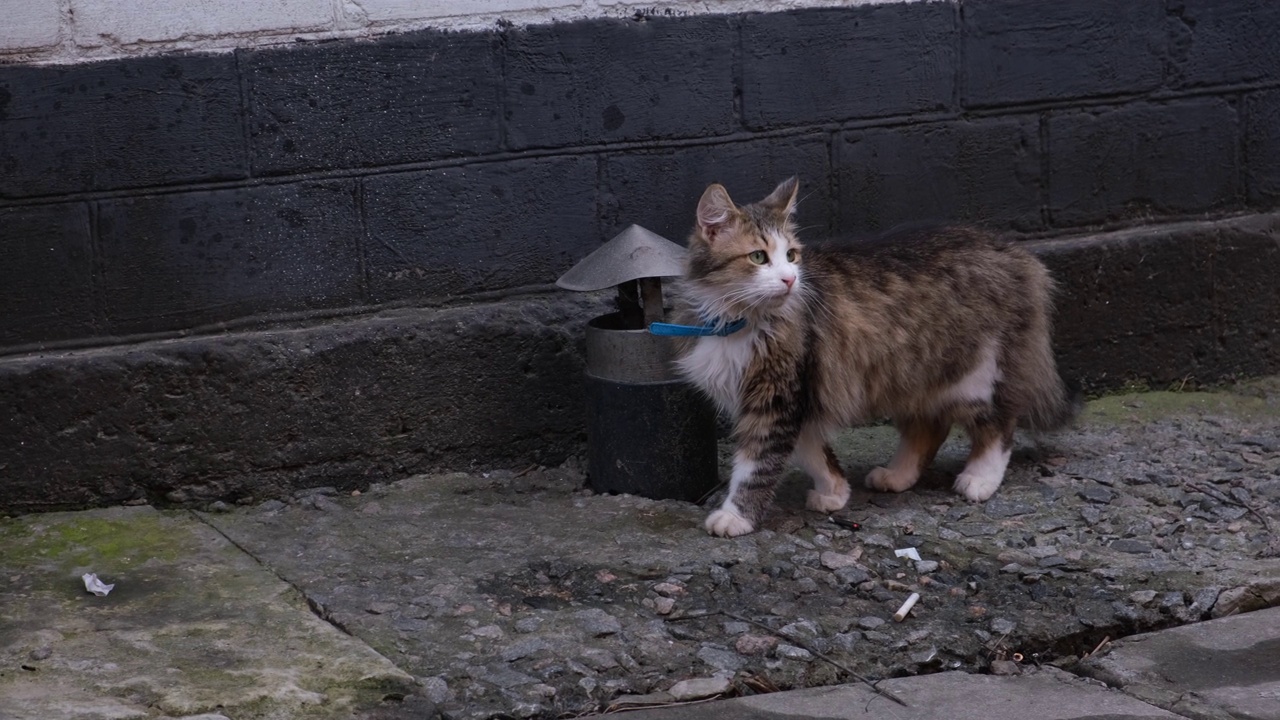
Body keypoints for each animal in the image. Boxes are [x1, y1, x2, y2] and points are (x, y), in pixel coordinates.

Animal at [675, 176, 1075, 535]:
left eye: (791, 255)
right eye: (758, 257)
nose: (790, 279)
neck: (736, 321)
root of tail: (1014, 251)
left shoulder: (776, 399)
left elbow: (755, 468)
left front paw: (736, 517)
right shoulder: (797, 398)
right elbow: (812, 453)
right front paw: (835, 492)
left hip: (976, 374)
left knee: (999, 426)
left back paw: (979, 479)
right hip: (911, 375)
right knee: (930, 427)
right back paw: (896, 476)